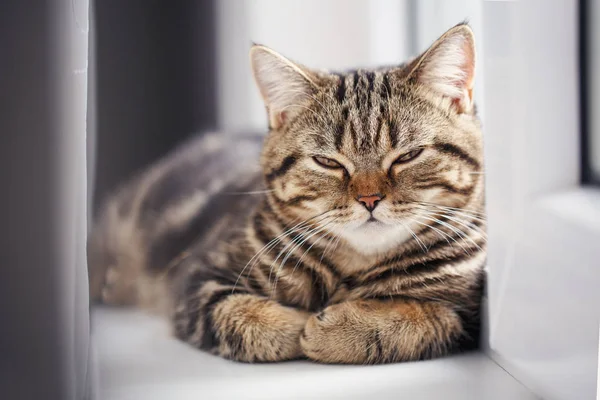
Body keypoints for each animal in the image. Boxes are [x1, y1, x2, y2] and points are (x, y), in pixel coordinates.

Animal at [89, 22, 488, 366]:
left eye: (408, 156)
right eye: (327, 162)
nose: (369, 199)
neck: (353, 267)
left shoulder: (465, 314)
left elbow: (421, 320)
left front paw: (343, 327)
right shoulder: (198, 279)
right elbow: (240, 315)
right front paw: (296, 323)